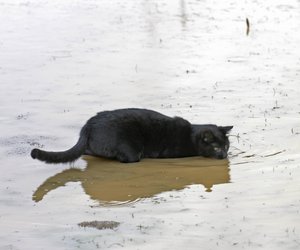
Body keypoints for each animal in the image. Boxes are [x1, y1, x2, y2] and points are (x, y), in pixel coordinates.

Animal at [30, 108, 233, 163]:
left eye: (226, 146)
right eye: (216, 147)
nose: (224, 155)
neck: (191, 135)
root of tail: (88, 126)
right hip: (130, 148)